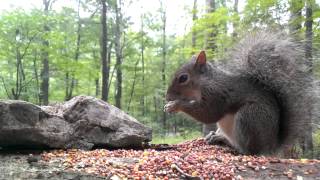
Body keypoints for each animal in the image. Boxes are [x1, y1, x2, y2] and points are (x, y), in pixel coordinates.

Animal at [165, 31, 318, 155]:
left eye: (183, 78)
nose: (167, 97)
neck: (206, 82)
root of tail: (271, 147)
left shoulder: (218, 94)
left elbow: (209, 113)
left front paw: (175, 105)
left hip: (249, 117)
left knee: (248, 151)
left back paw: (232, 145)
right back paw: (217, 136)